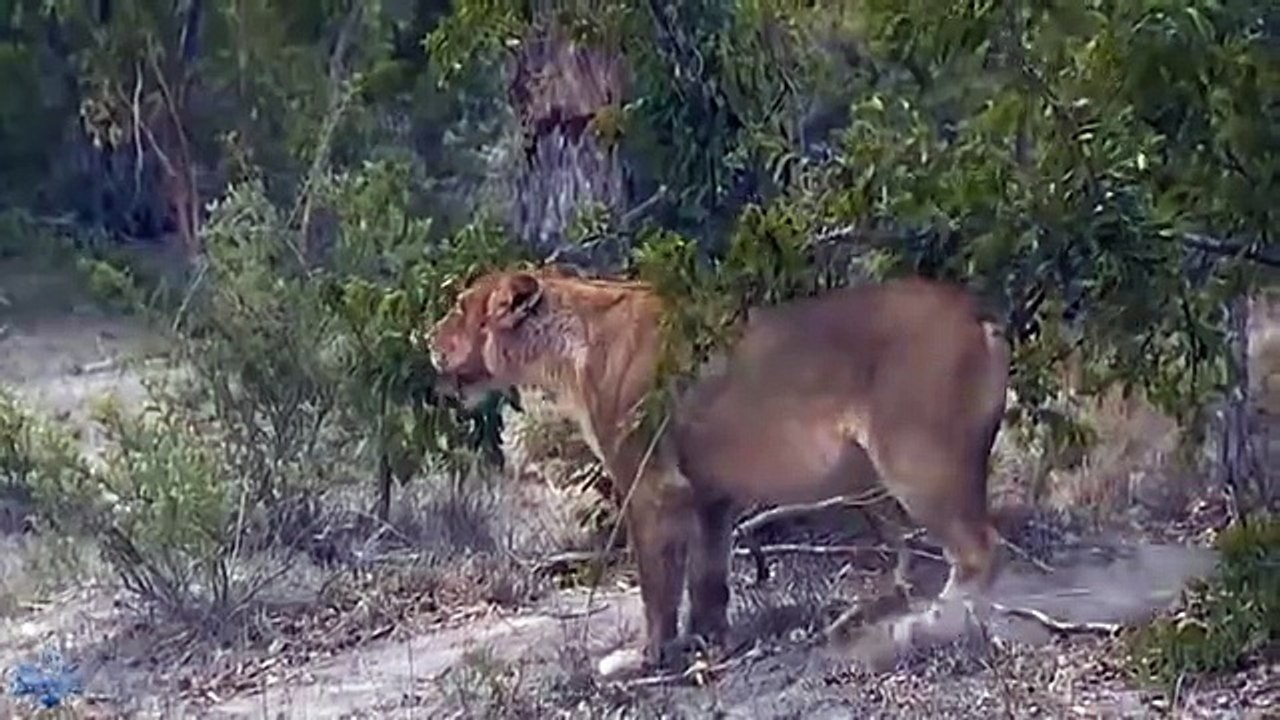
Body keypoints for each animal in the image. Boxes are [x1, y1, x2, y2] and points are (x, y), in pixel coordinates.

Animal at [426, 266, 1011, 672]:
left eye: (459, 307)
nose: (427, 338)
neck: (569, 347)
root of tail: (978, 316)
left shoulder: (651, 485)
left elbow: (656, 586)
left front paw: (649, 657)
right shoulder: (709, 493)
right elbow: (707, 576)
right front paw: (708, 640)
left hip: (918, 461)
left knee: (981, 550)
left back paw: (925, 626)